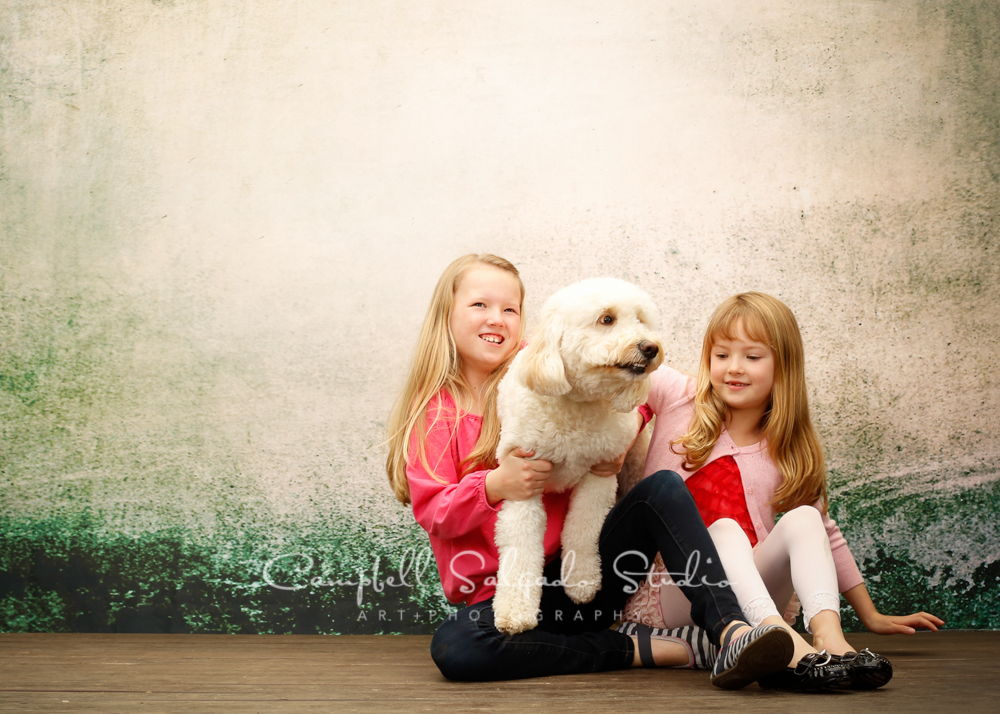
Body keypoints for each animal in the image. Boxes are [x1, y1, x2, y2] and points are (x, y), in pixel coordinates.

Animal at [492, 278, 664, 636]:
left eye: (641, 320)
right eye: (607, 319)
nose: (650, 347)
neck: (577, 405)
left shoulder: (600, 473)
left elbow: (583, 528)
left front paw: (581, 582)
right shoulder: (523, 478)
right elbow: (521, 545)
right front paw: (515, 611)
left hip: (633, 466)